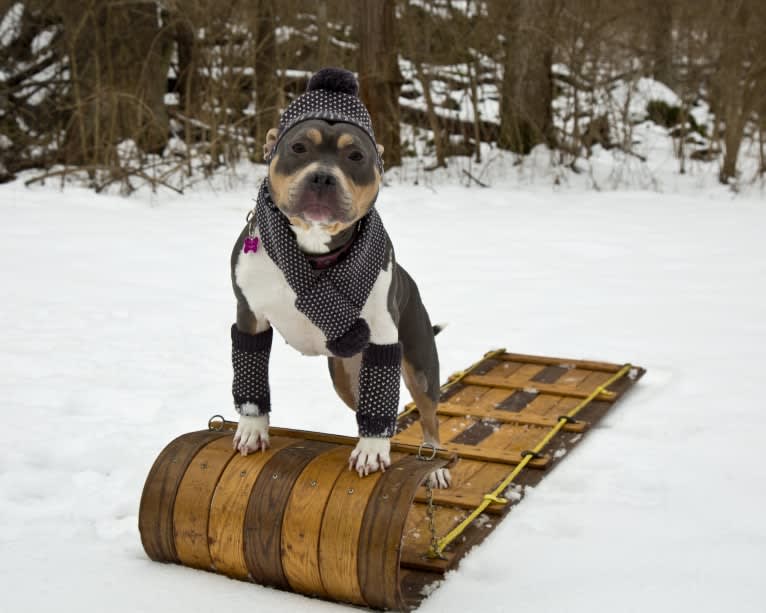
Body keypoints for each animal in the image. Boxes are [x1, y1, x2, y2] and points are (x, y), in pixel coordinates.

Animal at [228, 67, 450, 488]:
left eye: (356, 156)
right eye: (298, 148)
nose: (323, 178)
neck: (315, 252)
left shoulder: (382, 330)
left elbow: (383, 408)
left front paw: (373, 451)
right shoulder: (250, 317)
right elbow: (251, 377)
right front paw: (252, 429)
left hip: (418, 365)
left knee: (429, 417)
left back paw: (435, 468)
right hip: (345, 378)